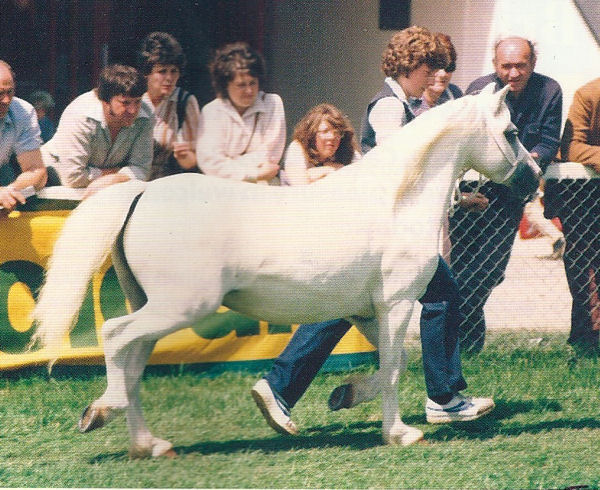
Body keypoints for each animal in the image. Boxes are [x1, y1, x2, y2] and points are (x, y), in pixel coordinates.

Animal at [31, 83, 540, 456]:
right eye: (513, 132)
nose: (533, 180)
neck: (396, 200)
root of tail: (142, 192)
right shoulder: (395, 306)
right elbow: (395, 368)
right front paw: (399, 433)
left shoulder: (366, 312)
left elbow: (394, 363)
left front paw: (344, 395)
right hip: (181, 307)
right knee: (115, 336)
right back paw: (104, 411)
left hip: (155, 308)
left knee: (133, 360)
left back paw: (148, 444)